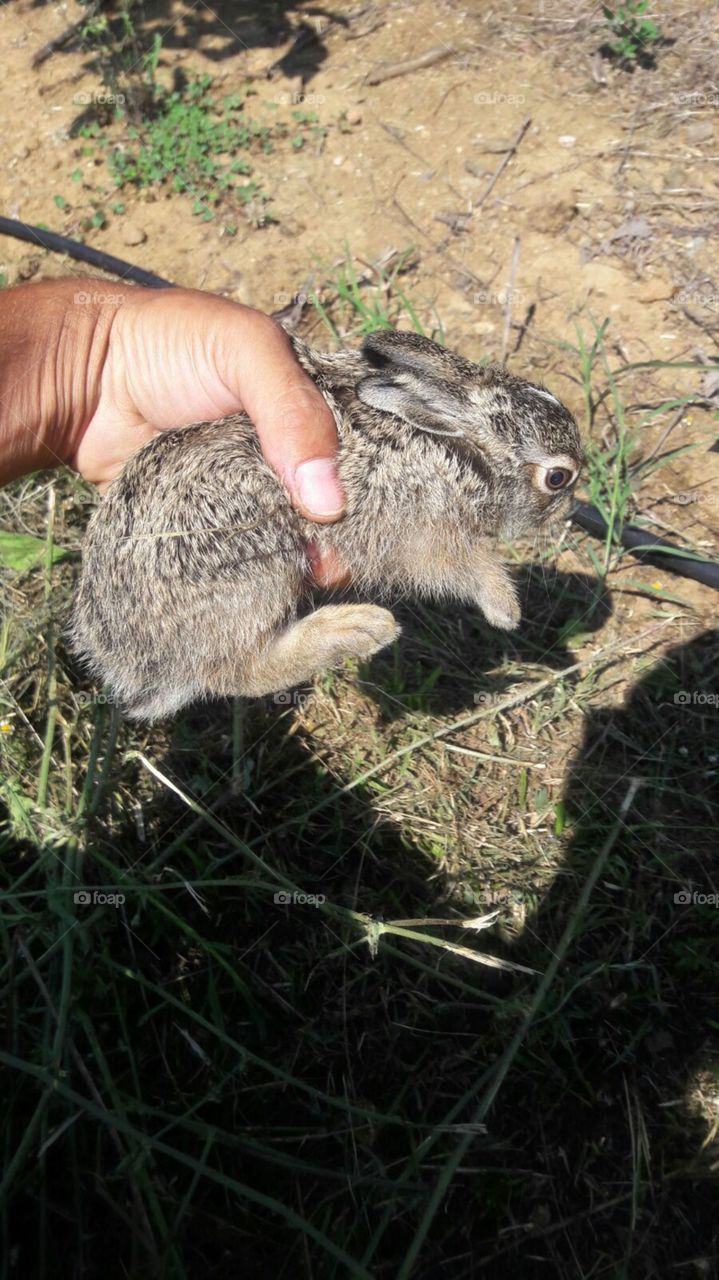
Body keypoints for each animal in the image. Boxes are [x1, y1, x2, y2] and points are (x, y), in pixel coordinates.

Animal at [70, 329, 583, 721]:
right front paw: (505, 610)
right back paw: (361, 628)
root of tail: (129, 659)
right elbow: (465, 568)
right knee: (237, 671)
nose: (566, 513)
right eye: (557, 477)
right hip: (250, 557)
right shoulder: (423, 529)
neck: (462, 451)